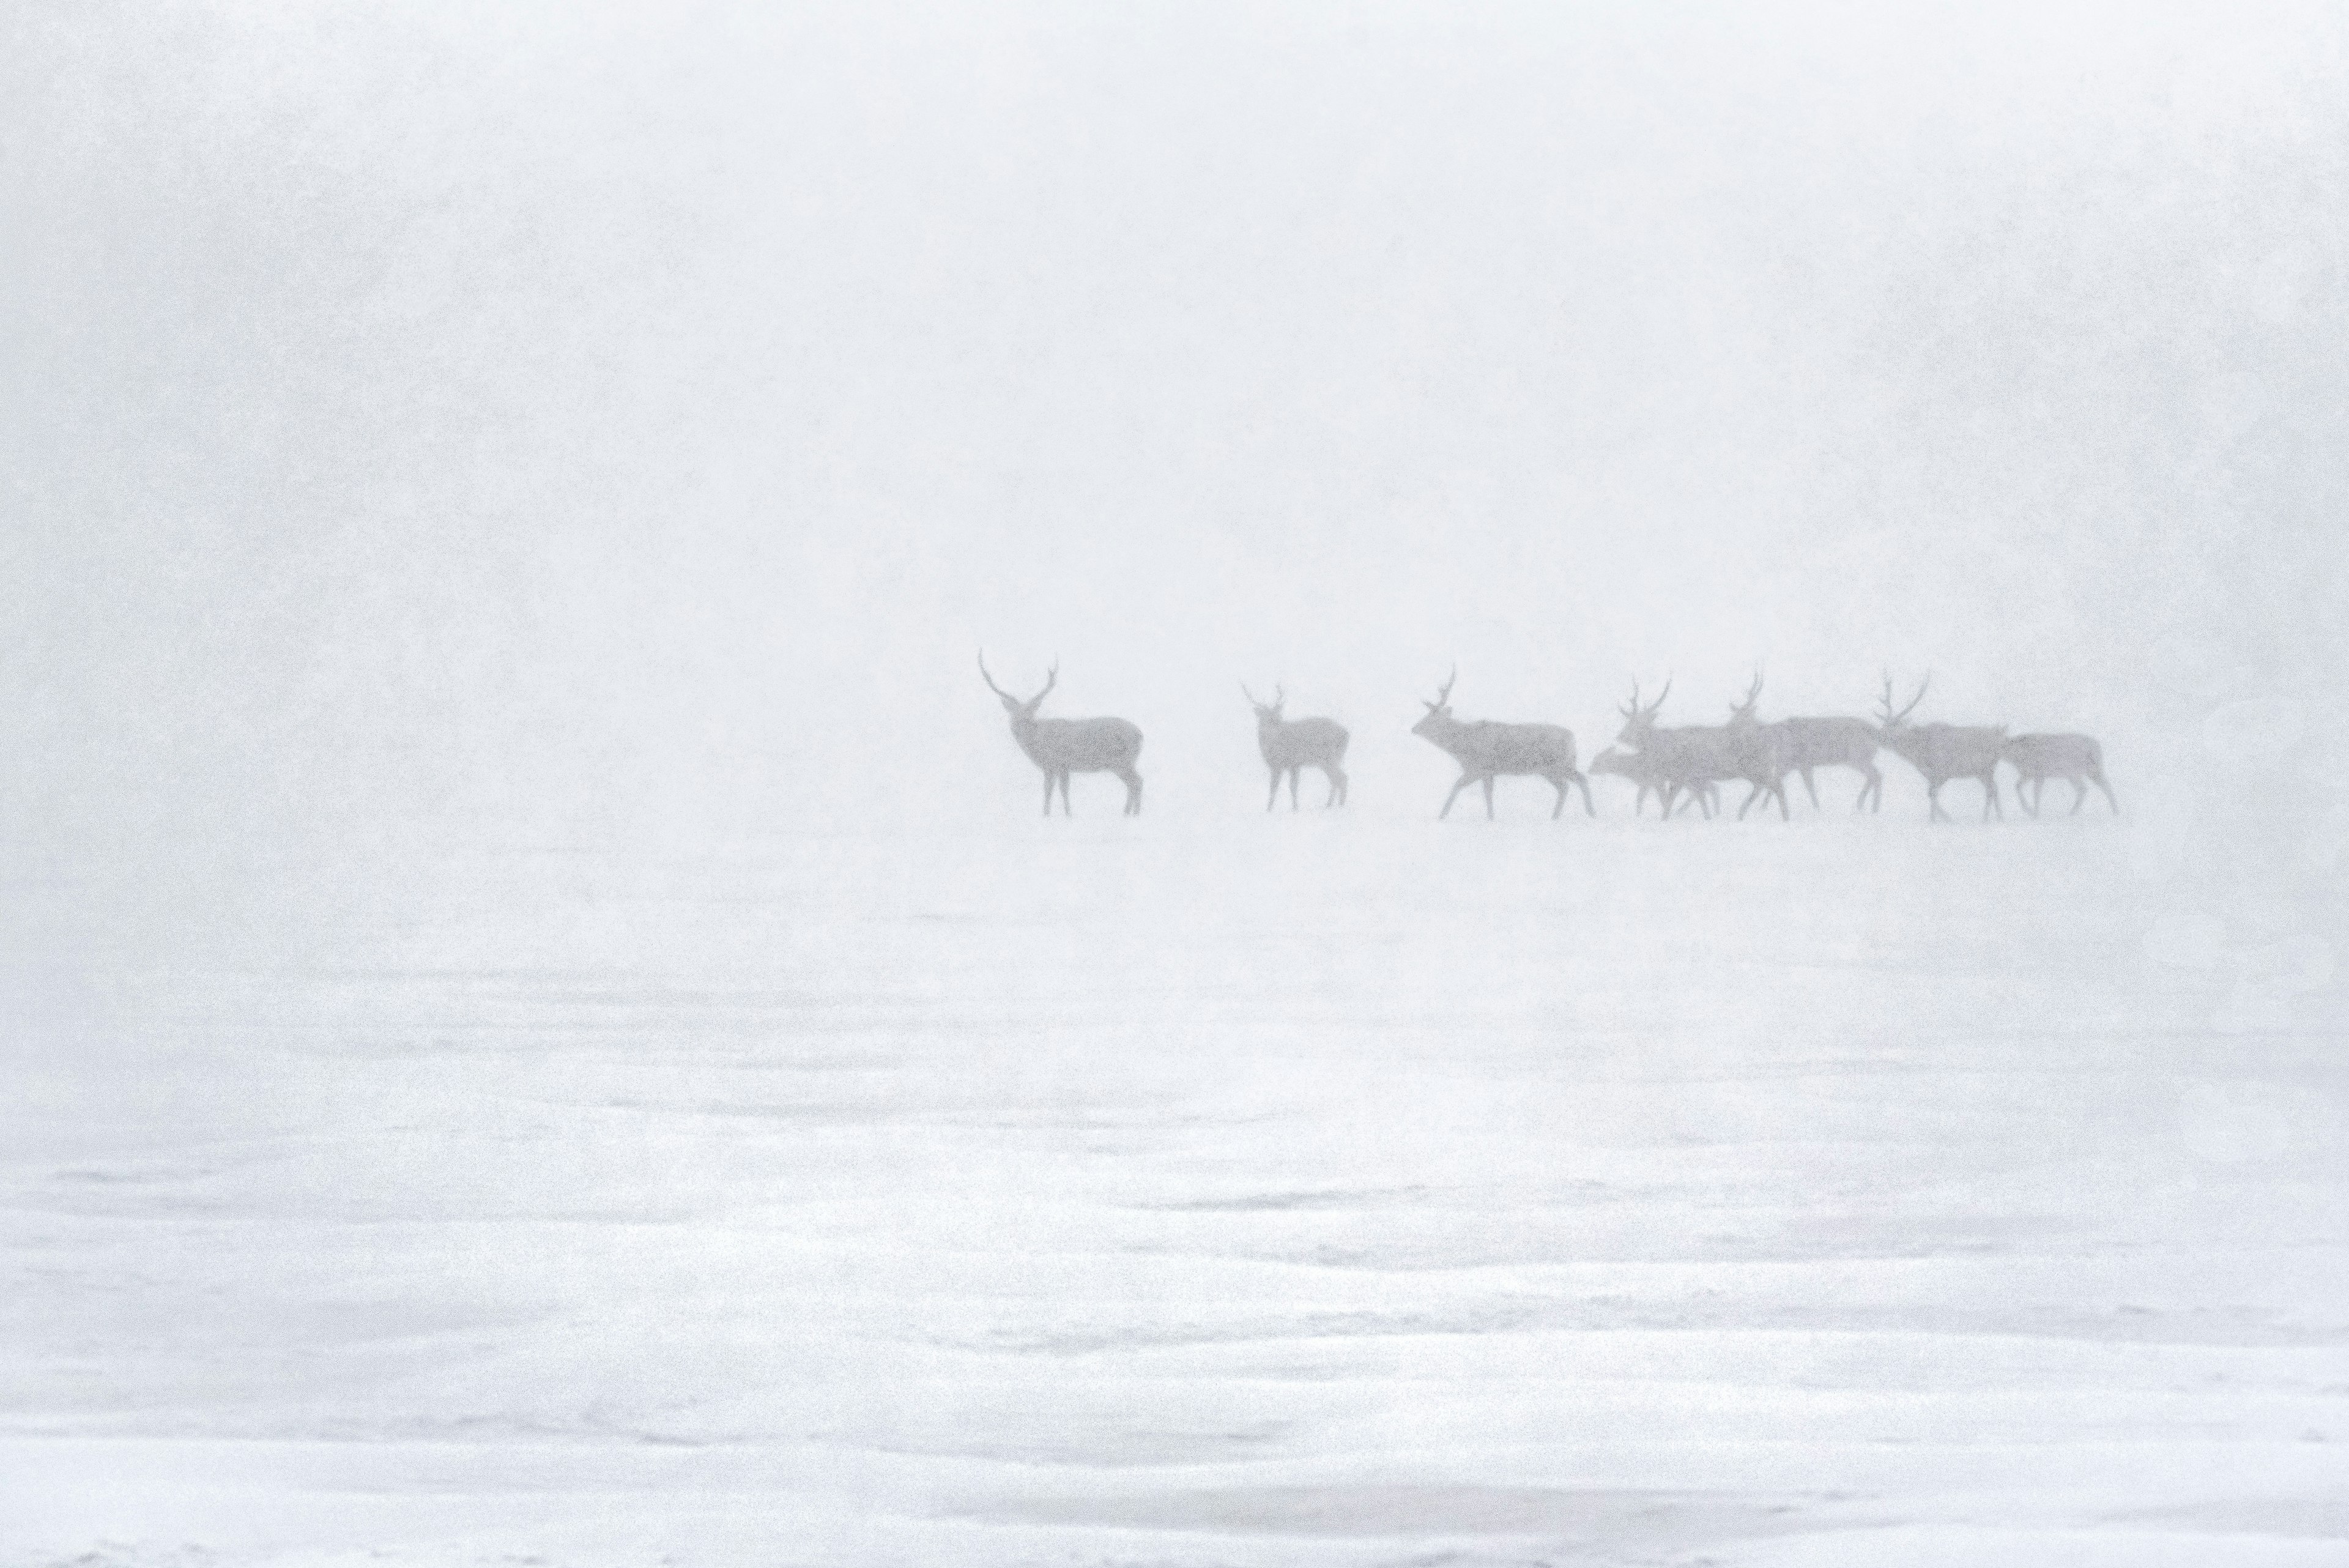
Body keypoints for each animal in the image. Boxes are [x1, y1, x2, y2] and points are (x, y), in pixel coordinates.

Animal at [982, 653, 1146, 818]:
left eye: (1031, 711)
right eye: (1014, 712)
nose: (1022, 721)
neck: (1038, 743)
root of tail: (1140, 734)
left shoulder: (1057, 763)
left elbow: (1056, 790)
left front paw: (1057, 815)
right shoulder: (1057, 767)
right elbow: (1056, 791)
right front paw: (1057, 815)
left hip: (1122, 761)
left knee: (1137, 782)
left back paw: (1133, 815)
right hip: (1122, 763)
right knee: (1133, 783)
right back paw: (1128, 814)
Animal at [1240, 682, 1353, 808]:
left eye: (1278, 714)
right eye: (1265, 717)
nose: (1276, 722)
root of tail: (1346, 734)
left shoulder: (1293, 762)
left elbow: (1291, 787)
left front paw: (1294, 808)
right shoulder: (1279, 766)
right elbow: (1275, 788)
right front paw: (1270, 809)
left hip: (1330, 758)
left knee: (1341, 778)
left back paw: (1337, 806)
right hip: (1328, 761)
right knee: (1337, 779)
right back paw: (1330, 806)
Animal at [1409, 667, 1597, 822]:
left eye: (1430, 719)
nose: (1413, 729)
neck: (1461, 747)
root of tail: (1573, 738)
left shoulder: (1479, 767)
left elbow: (1460, 788)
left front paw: (1443, 816)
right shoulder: (1486, 771)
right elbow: (1485, 792)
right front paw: (1490, 817)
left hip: (1556, 765)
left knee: (1571, 784)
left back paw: (1573, 815)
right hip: (1557, 767)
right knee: (1573, 782)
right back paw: (1578, 814)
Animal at [1879, 672, 2011, 822]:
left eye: (1893, 726)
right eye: (1883, 725)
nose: (1879, 737)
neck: (1917, 755)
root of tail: (2002, 736)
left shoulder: (1943, 771)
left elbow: (1932, 794)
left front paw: (1938, 820)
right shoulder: (1931, 775)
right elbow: (1931, 794)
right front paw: (1943, 819)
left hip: (1986, 767)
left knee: (1992, 790)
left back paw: (1988, 819)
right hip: (1982, 771)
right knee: (1994, 789)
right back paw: (1996, 818)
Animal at [1992, 733, 2123, 818]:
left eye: (1999, 745)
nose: (1991, 754)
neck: (2017, 757)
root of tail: (2096, 747)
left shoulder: (2039, 774)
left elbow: (2035, 794)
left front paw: (2035, 813)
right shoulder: (2030, 774)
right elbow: (2018, 786)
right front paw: (2031, 811)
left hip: (2078, 771)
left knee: (2090, 788)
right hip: (2088, 772)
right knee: (2095, 787)